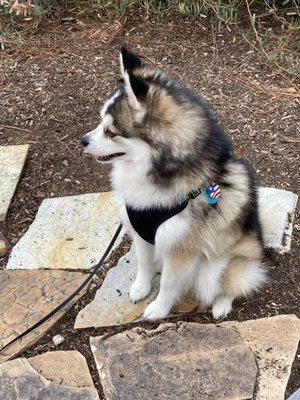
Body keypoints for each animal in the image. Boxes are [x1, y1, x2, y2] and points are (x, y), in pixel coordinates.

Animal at [81, 47, 266, 320]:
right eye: (100, 122)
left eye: (111, 132)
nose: (82, 140)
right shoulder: (141, 232)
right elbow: (144, 264)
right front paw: (141, 288)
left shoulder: (180, 248)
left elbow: (169, 283)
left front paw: (159, 308)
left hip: (219, 268)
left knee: (230, 284)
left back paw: (221, 305)